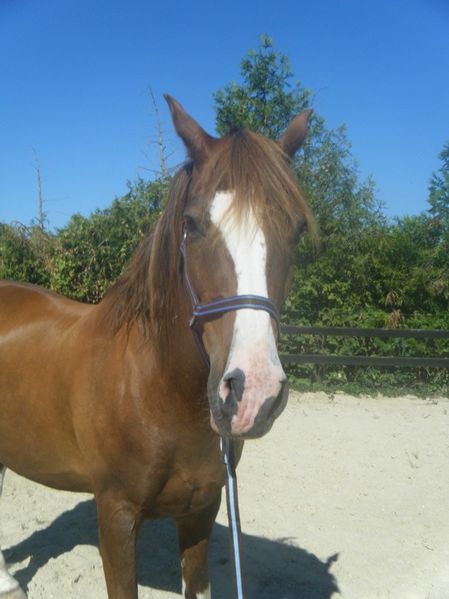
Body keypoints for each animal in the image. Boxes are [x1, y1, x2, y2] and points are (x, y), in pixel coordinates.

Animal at [0, 96, 314, 596]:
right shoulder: (116, 517)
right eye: (192, 223)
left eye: (297, 228)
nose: (254, 394)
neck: (154, 390)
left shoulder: (201, 510)